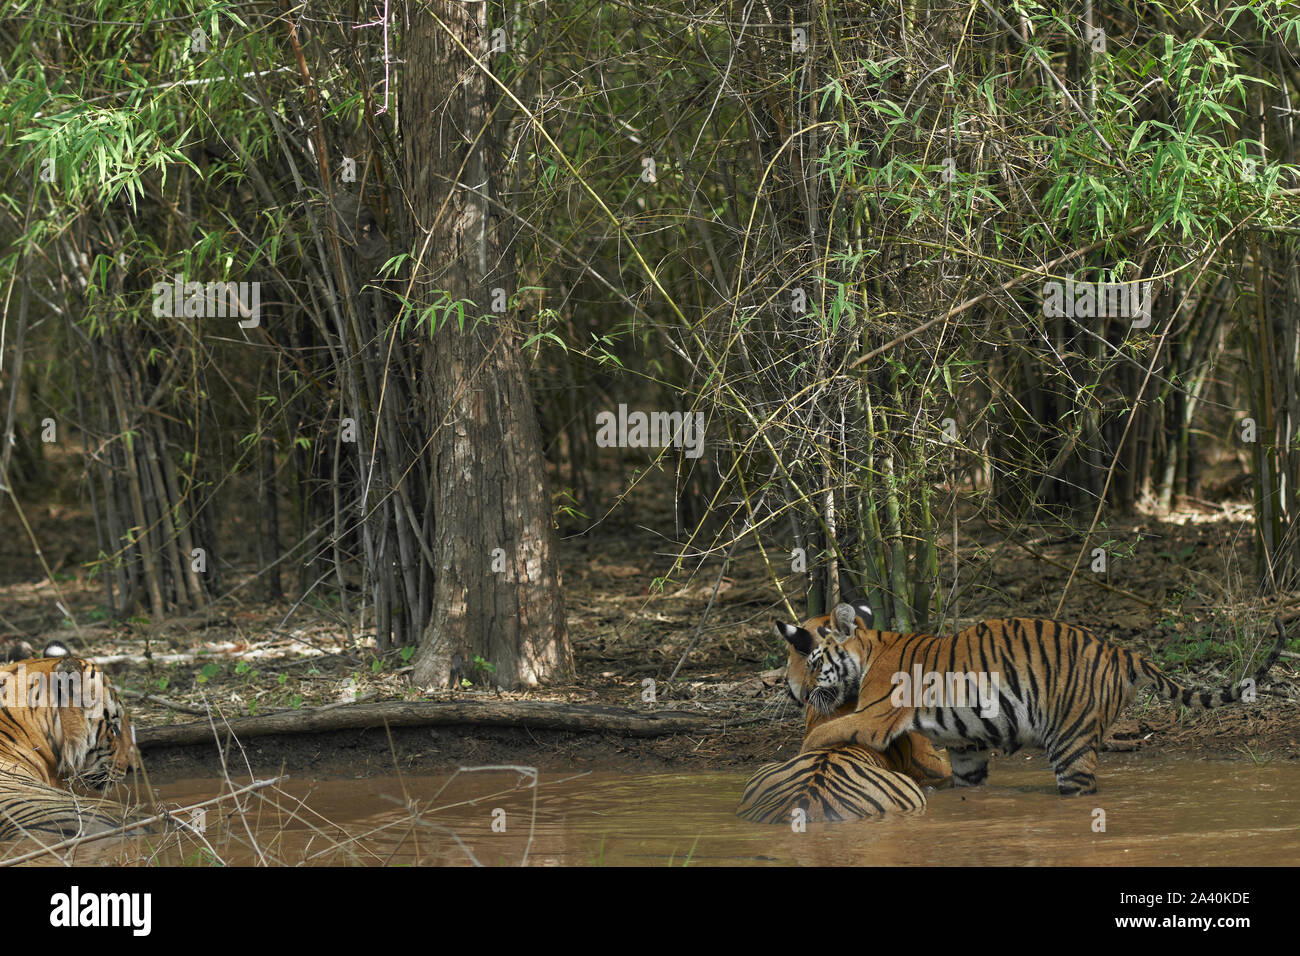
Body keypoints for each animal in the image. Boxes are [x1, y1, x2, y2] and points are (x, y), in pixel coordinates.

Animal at [774, 608, 1284, 796]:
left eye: (808, 659)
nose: (793, 693)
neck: (867, 652)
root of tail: (1119, 649)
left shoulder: (876, 716)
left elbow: (824, 732)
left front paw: (800, 760)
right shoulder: (966, 748)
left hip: (1071, 740)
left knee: (1081, 786)